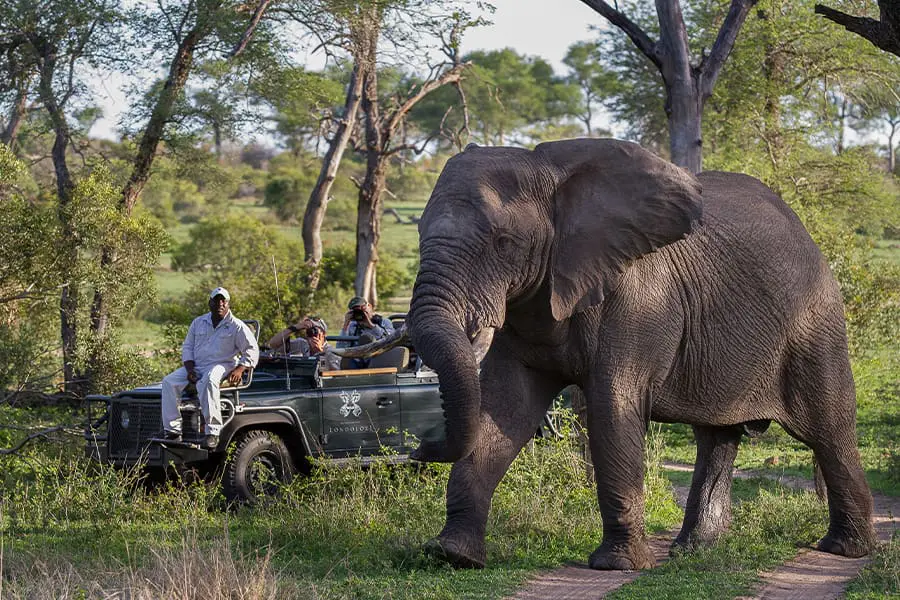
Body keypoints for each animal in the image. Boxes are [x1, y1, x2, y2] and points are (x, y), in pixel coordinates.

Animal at [356, 137, 872, 572]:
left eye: (503, 243)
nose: (419, 447)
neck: (551, 173)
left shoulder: (637, 299)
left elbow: (611, 408)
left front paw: (616, 565)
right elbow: (504, 410)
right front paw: (453, 555)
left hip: (814, 321)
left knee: (828, 428)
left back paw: (845, 550)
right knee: (717, 436)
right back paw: (692, 551)